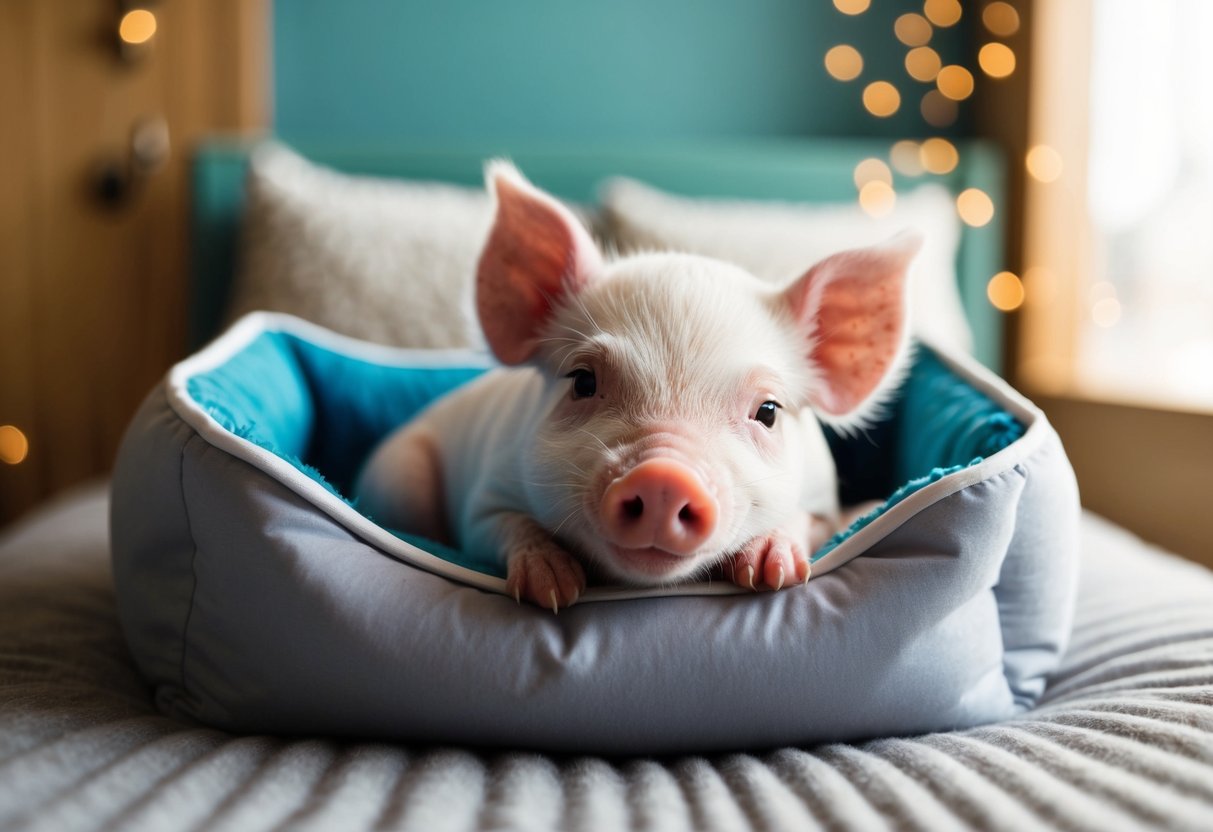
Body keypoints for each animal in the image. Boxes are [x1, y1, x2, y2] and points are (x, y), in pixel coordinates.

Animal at [355, 161, 919, 613]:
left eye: (769, 411)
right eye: (583, 381)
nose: (664, 477)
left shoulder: (822, 502)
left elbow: (809, 523)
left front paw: (771, 570)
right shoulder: (484, 496)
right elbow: (500, 527)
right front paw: (553, 589)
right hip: (399, 474)